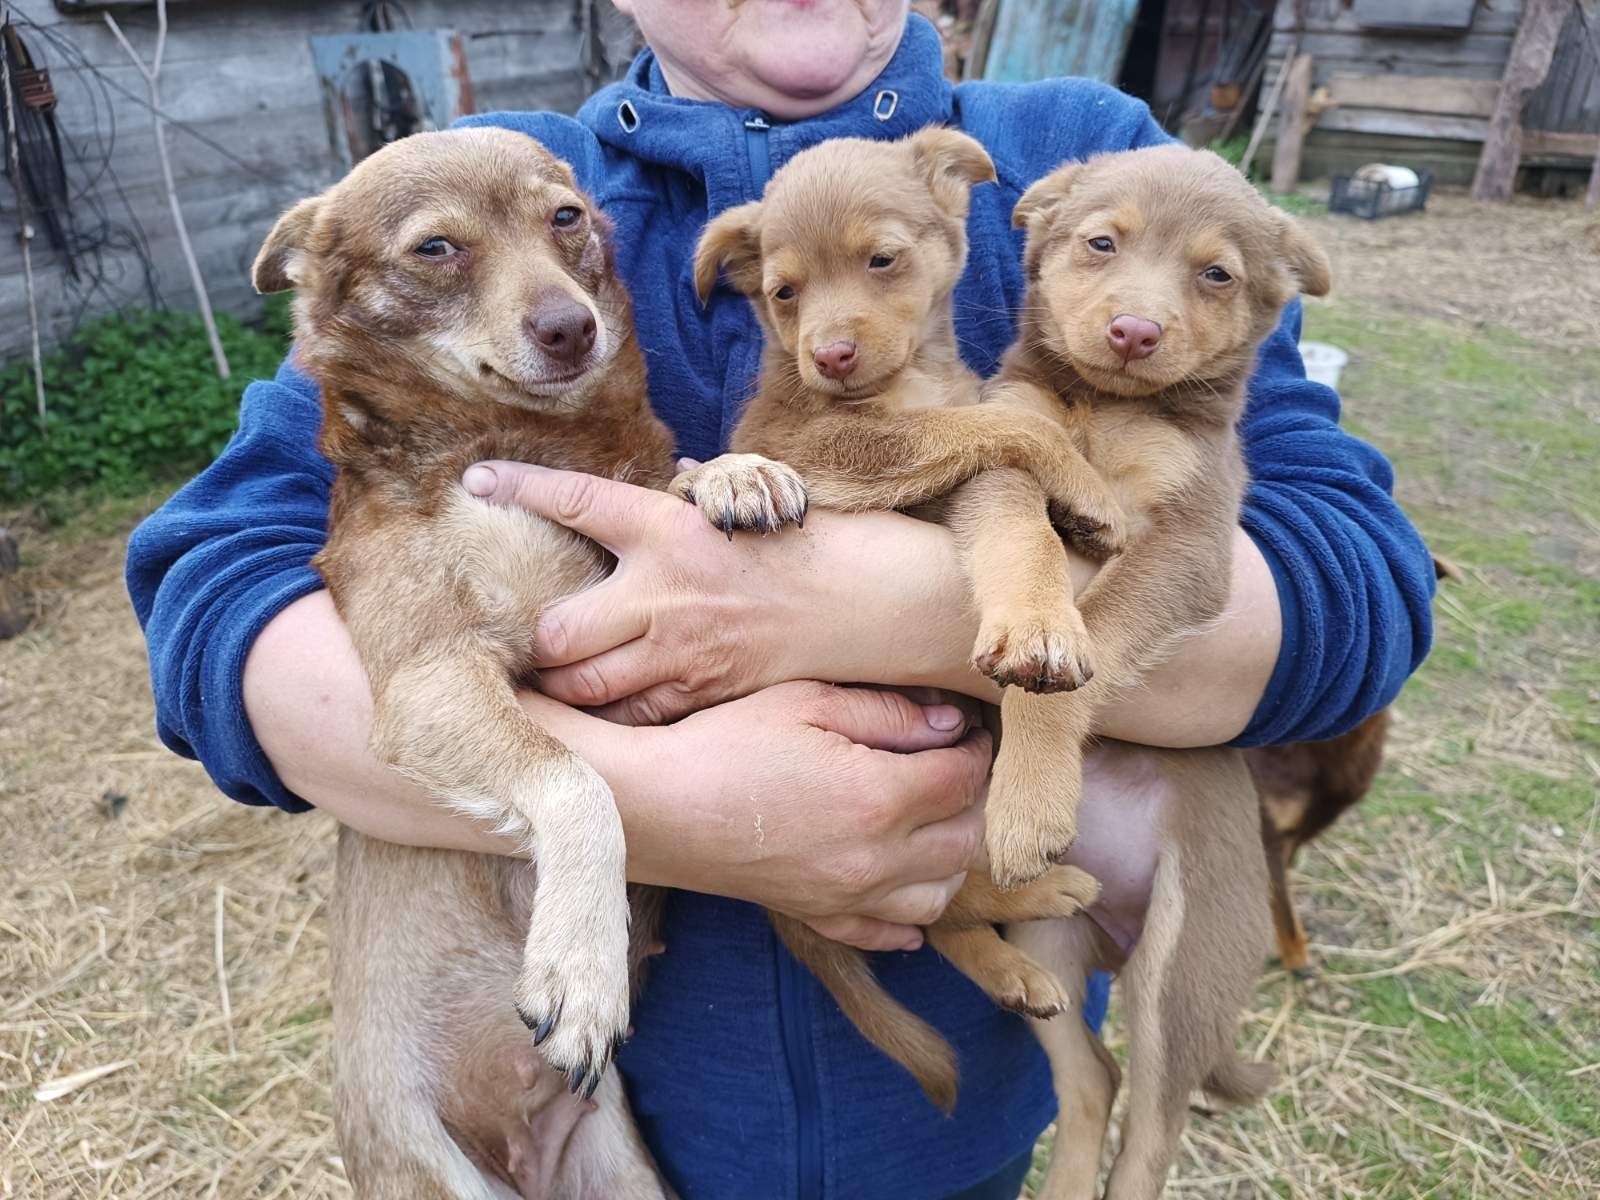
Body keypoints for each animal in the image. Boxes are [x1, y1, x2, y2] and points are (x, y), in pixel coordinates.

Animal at [254, 129, 675, 1200]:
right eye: (436, 248)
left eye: (565, 218)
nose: (571, 328)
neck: (540, 440)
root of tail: (518, 1156)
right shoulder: (435, 679)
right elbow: (578, 784)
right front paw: (582, 962)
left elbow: (677, 481)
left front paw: (742, 475)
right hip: (429, 1174)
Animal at [998, 148, 1337, 1200]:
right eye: (1101, 242)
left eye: (1216, 274)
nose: (1135, 332)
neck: (1109, 409)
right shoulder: (1008, 430)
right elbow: (1029, 527)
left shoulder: (1190, 542)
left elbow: (1090, 637)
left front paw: (1024, 793)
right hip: (1050, 936)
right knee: (1091, 1082)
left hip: (1180, 969)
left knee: (1152, 1126)